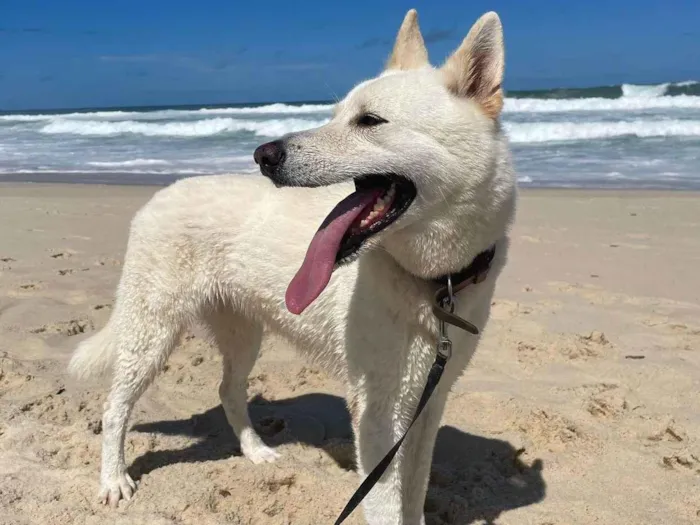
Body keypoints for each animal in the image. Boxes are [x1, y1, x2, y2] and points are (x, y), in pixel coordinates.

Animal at [68, 8, 516, 524]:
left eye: (369, 121)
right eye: (336, 114)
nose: (264, 154)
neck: (434, 282)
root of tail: (155, 198)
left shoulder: (427, 404)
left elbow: (415, 494)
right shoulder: (381, 414)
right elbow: (387, 506)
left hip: (242, 334)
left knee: (228, 391)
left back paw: (256, 452)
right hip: (153, 332)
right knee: (115, 407)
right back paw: (113, 480)